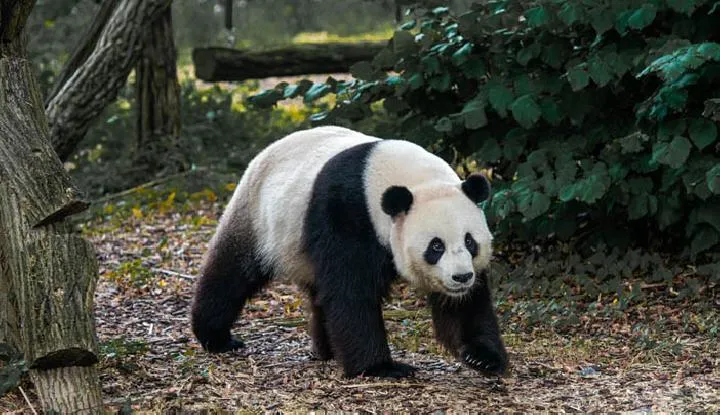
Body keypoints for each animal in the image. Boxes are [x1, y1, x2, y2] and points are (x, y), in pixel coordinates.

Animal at [190, 125, 508, 378]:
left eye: (470, 242)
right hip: (259, 218)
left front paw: (483, 357)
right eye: (436, 246)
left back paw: (326, 350)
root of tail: (264, 152)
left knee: (318, 293)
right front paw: (381, 368)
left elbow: (464, 306)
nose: (461, 277)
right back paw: (216, 337)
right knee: (232, 272)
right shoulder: (347, 211)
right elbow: (351, 290)